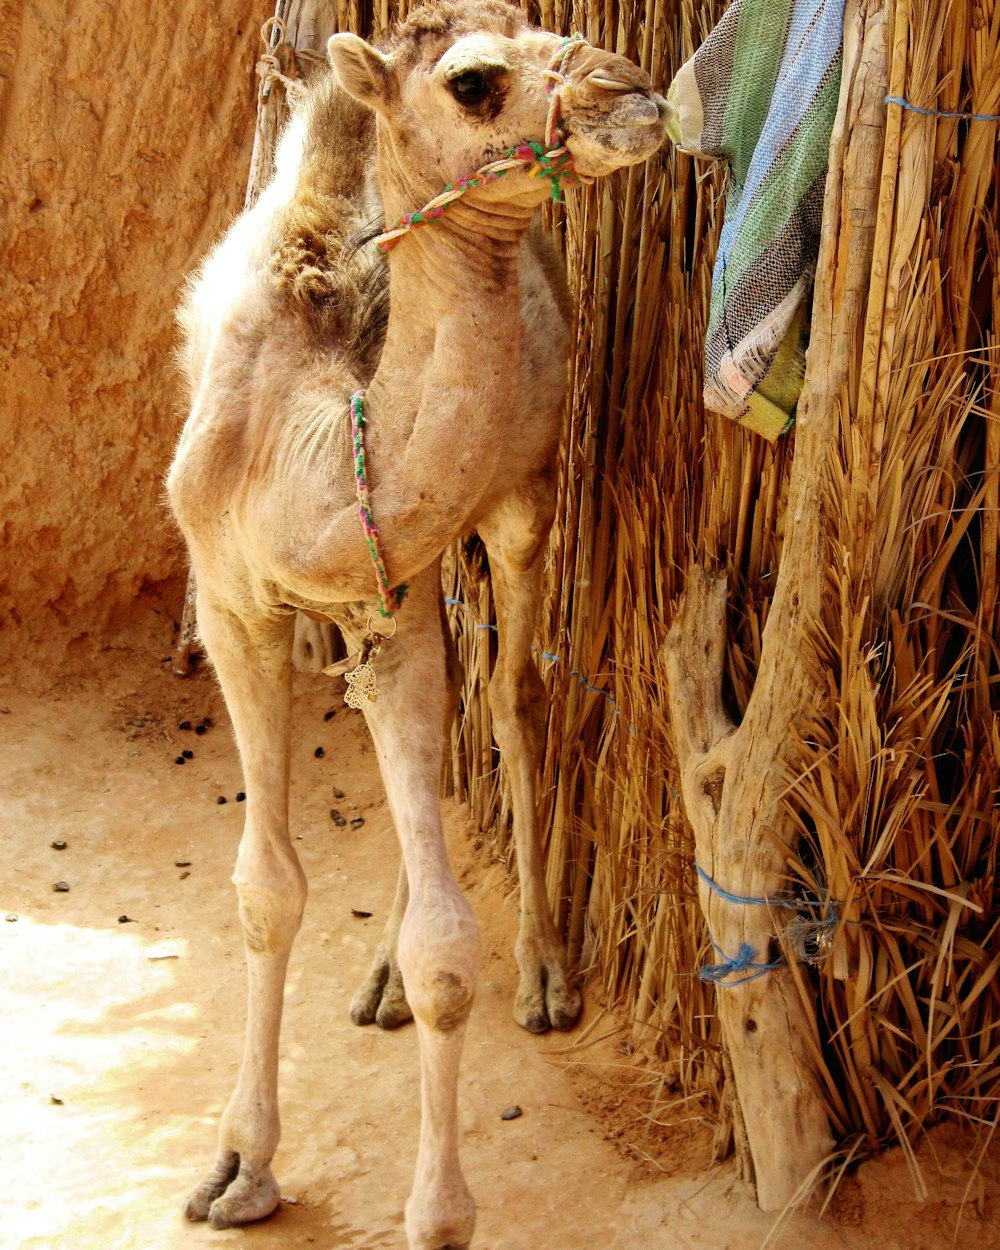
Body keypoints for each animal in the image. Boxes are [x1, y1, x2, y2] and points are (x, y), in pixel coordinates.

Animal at [167, 4, 670, 1245]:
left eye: (555, 28)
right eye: (475, 81)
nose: (632, 85)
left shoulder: (392, 603)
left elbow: (449, 944)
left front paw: (437, 1211)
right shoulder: (237, 602)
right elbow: (266, 887)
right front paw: (238, 1164)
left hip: (523, 495)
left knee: (516, 697)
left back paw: (541, 970)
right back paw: (379, 982)